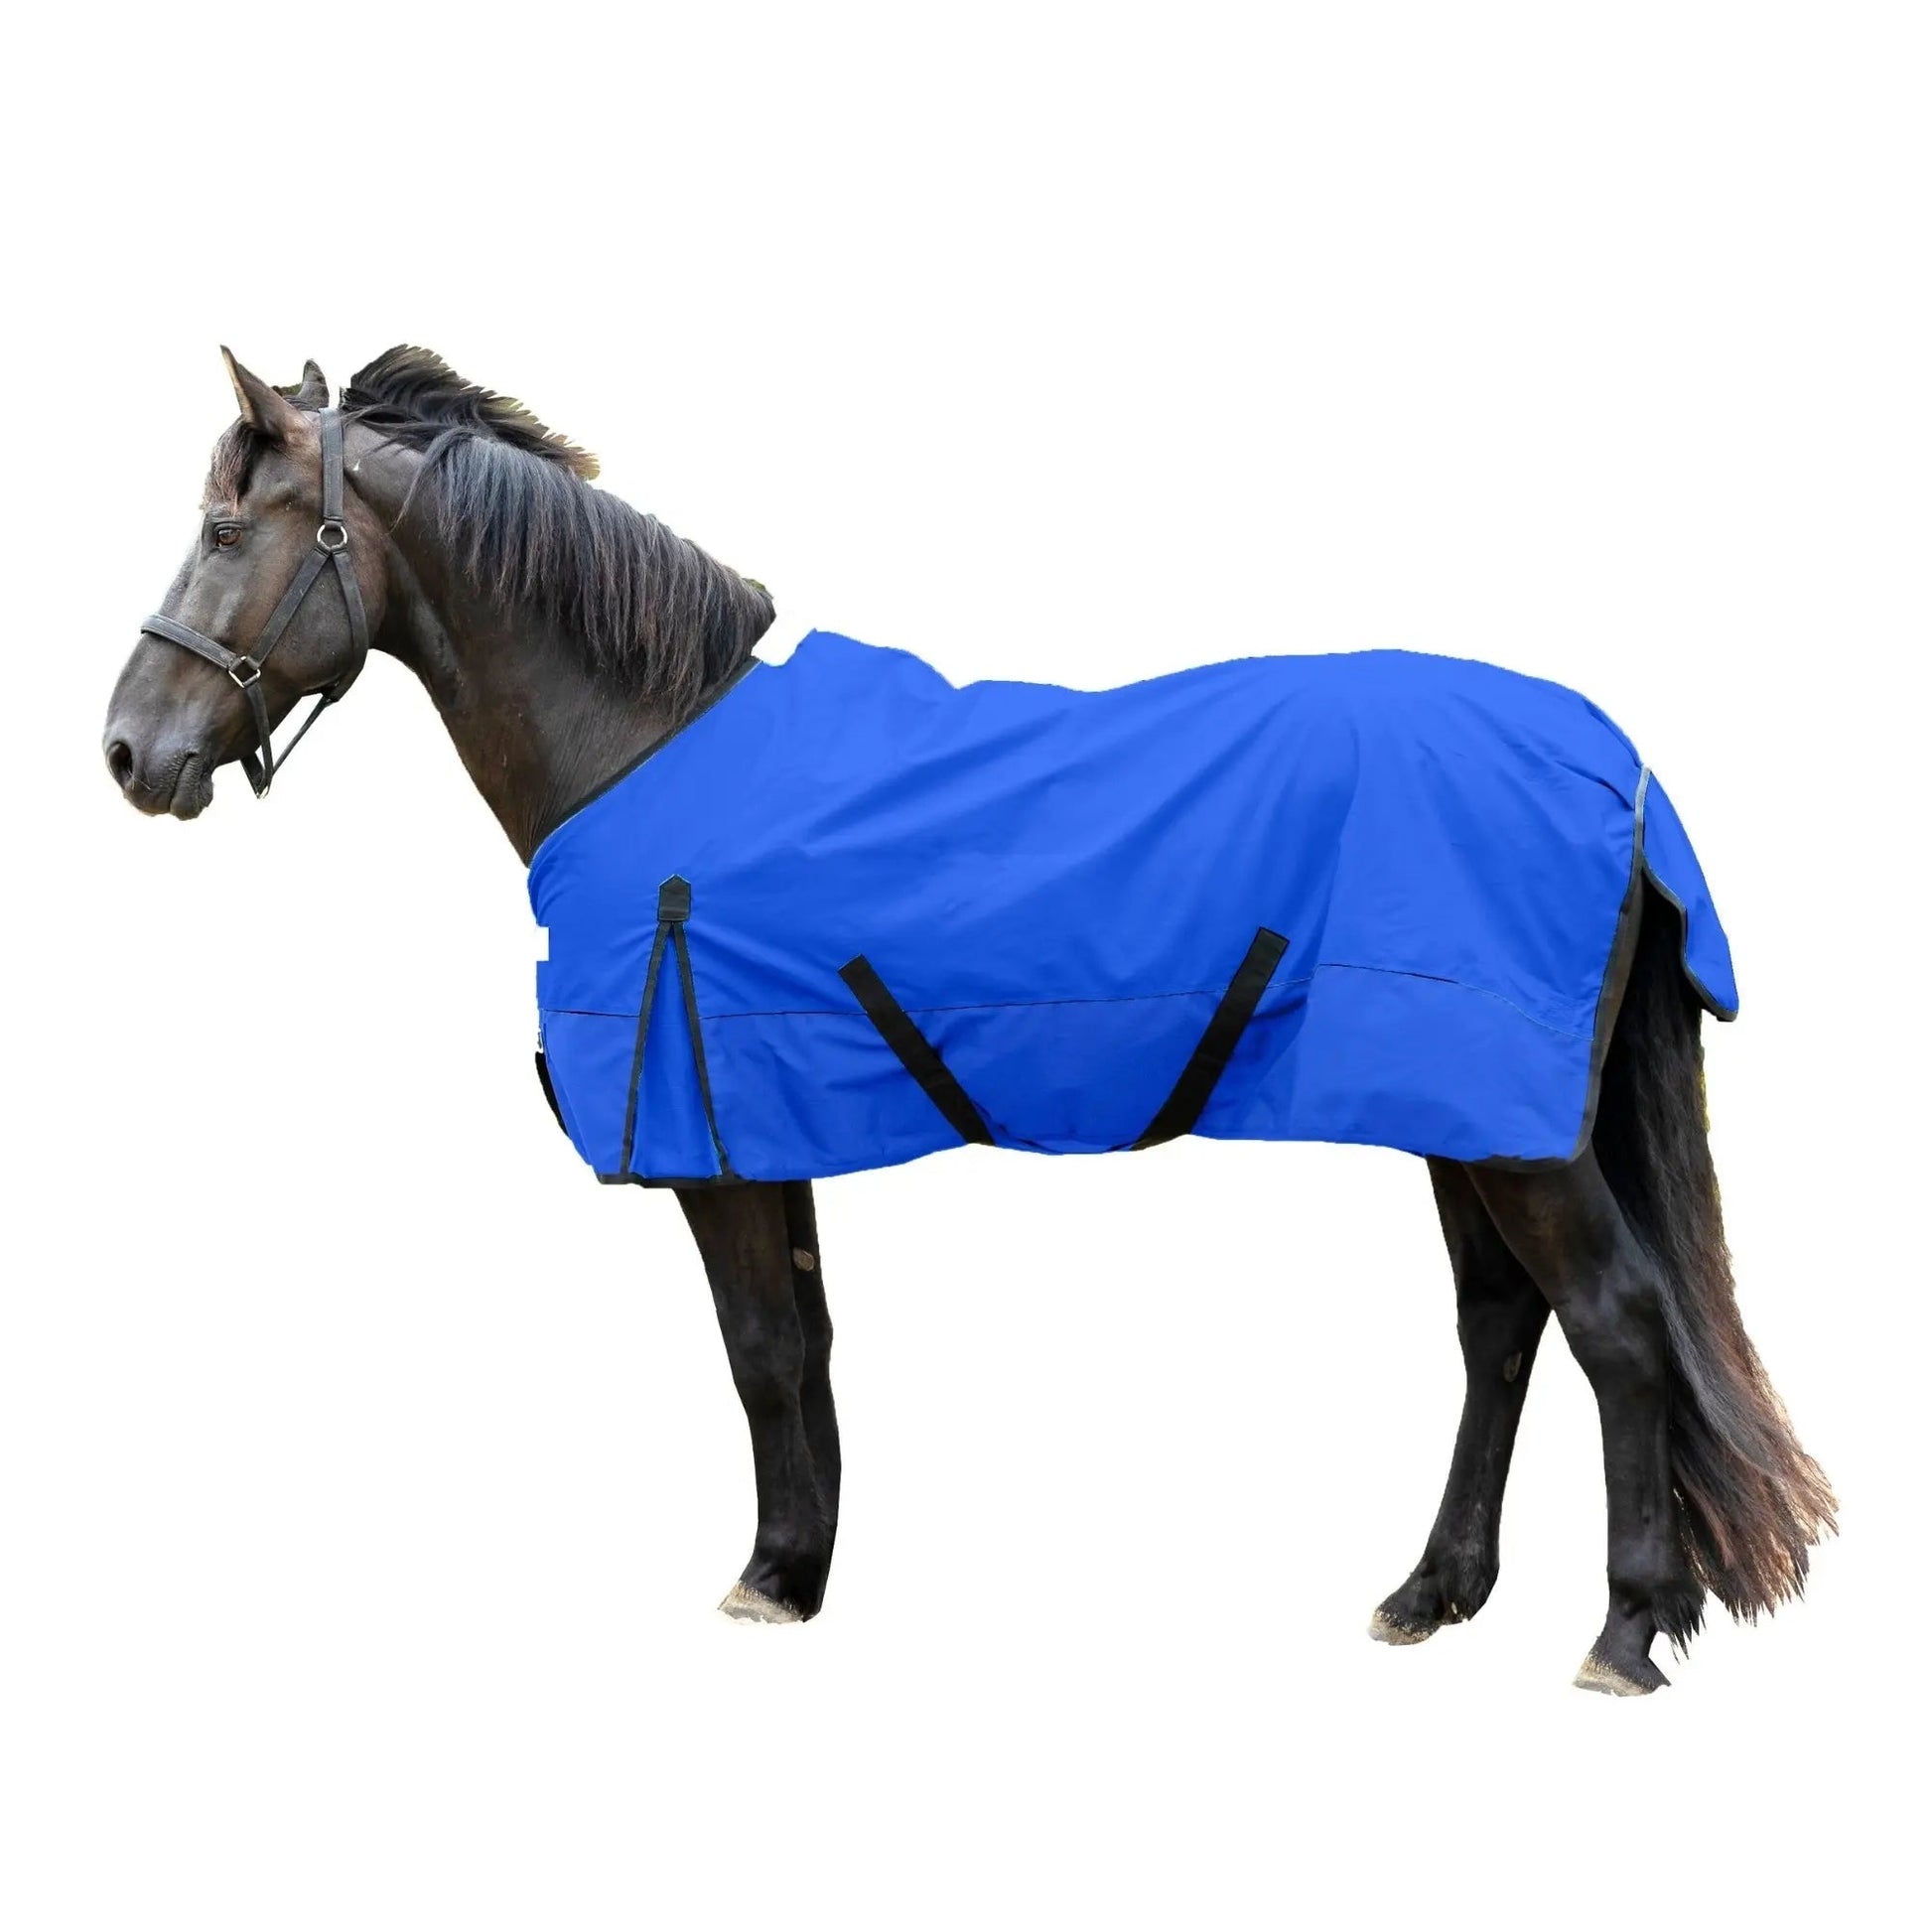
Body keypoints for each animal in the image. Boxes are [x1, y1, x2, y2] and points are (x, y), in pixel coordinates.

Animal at [102, 346, 1834, 1695]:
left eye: (222, 528)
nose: (127, 750)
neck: (649, 742)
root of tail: (1612, 763)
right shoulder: (767, 1125)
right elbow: (800, 1345)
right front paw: (799, 1566)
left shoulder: (716, 1138)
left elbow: (757, 1348)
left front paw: (765, 1577)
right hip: (1459, 1117)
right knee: (1499, 1328)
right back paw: (1432, 1593)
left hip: (1510, 1132)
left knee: (1615, 1325)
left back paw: (1621, 1630)